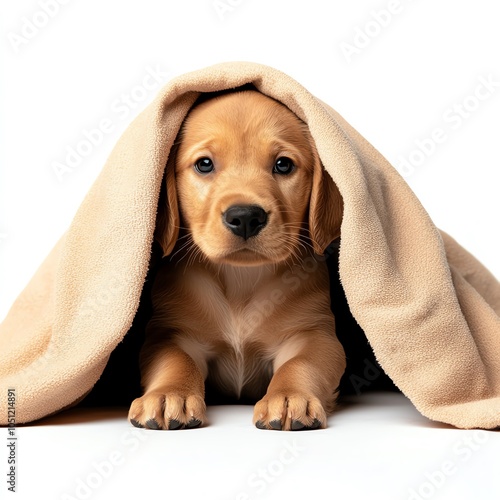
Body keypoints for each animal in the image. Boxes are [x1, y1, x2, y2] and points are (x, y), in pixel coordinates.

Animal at [129, 89, 346, 430]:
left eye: (283, 165)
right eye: (204, 164)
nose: (245, 217)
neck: (240, 280)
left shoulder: (314, 333)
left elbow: (301, 363)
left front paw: (289, 397)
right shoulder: (170, 332)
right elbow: (176, 361)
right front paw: (168, 395)